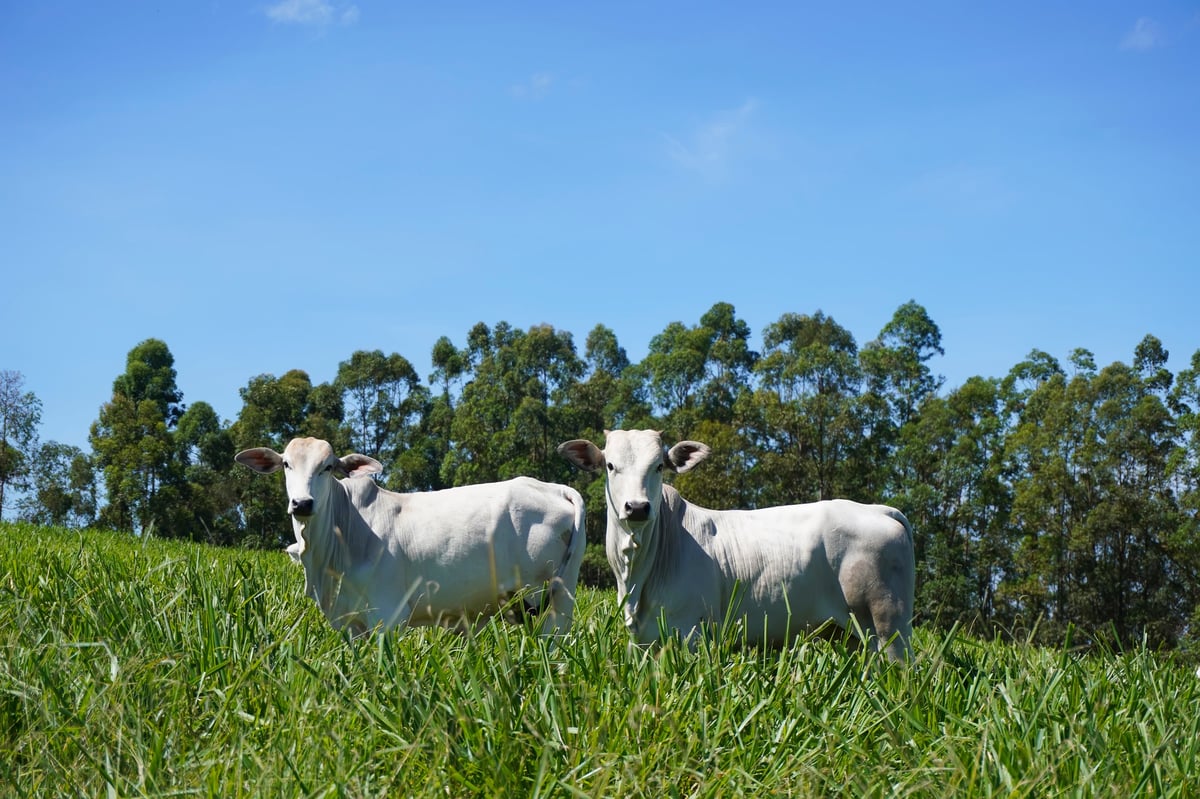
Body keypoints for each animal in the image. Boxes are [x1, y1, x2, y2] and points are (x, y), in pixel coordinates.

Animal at [235, 437, 586, 638]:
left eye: (328, 466)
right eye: (286, 464)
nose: (302, 503)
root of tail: (555, 488)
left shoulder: (388, 616)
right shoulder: (349, 622)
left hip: (548, 601)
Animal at [557, 429, 915, 661]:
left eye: (659, 466)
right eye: (610, 466)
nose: (637, 507)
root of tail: (877, 509)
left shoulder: (689, 632)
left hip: (888, 626)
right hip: (856, 634)